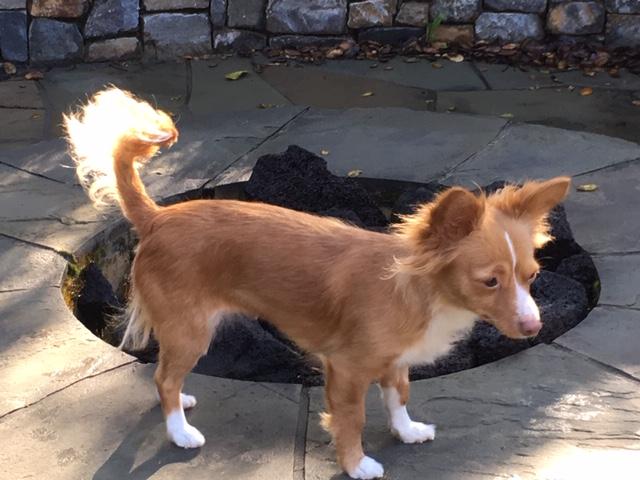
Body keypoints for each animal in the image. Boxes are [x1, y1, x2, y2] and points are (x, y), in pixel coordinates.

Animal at [65, 88, 570, 480]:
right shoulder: (346, 369)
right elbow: (352, 419)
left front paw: (406, 430)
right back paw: (180, 433)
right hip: (191, 330)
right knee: (163, 378)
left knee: (164, 374)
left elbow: (399, 395)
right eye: (490, 282)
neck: (419, 290)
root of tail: (158, 216)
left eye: (532, 277)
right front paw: (357, 464)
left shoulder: (394, 360)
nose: (534, 328)